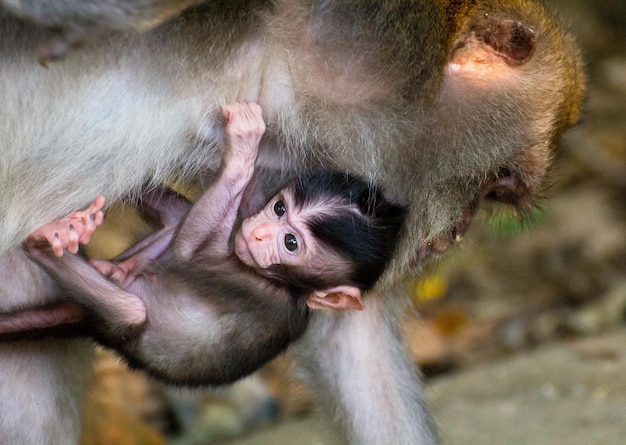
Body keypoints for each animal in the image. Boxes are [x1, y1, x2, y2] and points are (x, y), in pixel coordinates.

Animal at [0, 103, 408, 386]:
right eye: (279, 209)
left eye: (291, 243)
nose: (259, 234)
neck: (290, 287)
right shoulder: (248, 212)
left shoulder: (257, 290)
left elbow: (189, 252)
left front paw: (244, 148)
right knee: (177, 216)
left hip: (117, 324)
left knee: (133, 310)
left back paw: (47, 241)